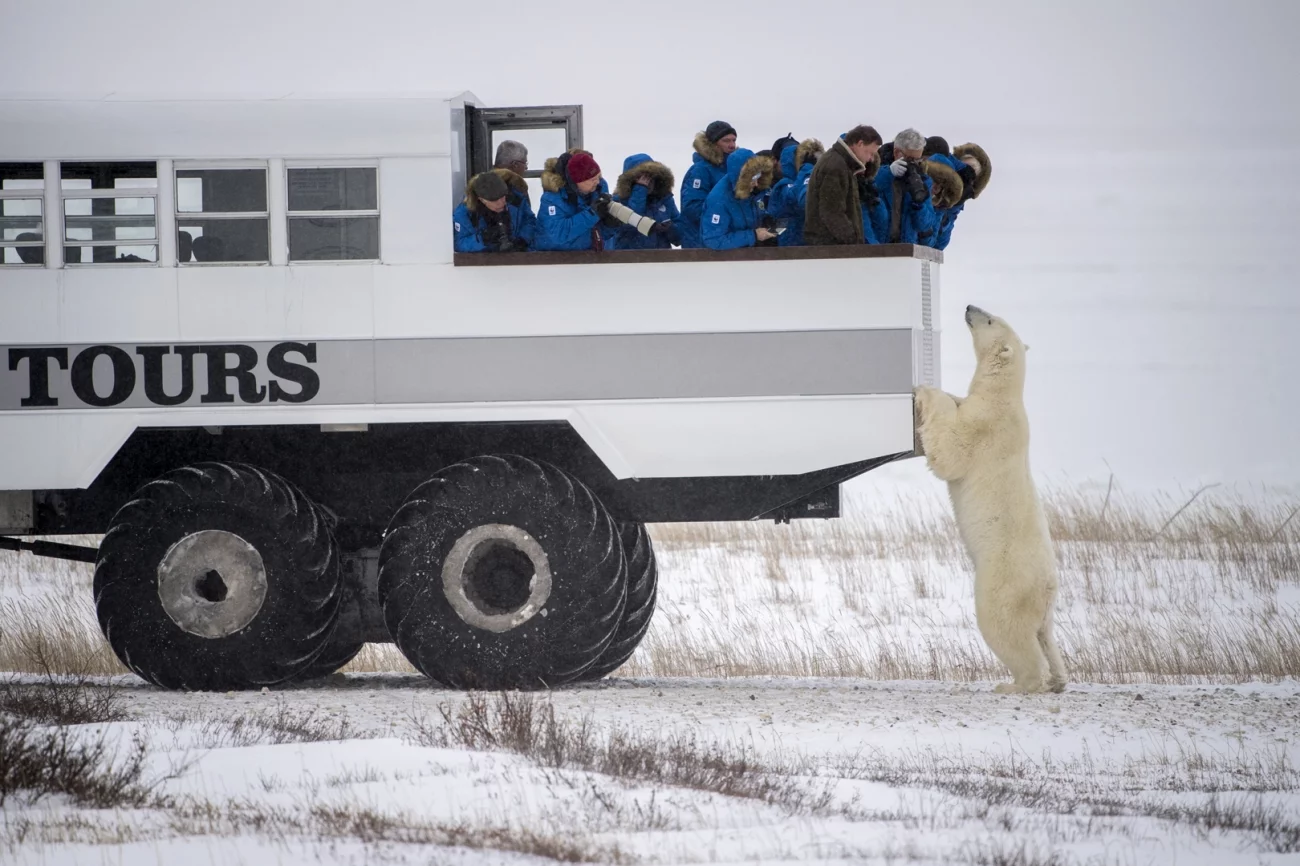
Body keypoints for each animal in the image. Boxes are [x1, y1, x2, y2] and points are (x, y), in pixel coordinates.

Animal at [913, 304, 1067, 694]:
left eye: (990, 319)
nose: (970, 306)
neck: (1002, 395)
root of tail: (1047, 588)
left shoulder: (985, 427)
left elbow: (951, 451)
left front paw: (926, 391)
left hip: (1003, 580)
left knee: (1005, 628)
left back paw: (1017, 683)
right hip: (1043, 605)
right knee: (1045, 634)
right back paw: (1058, 678)